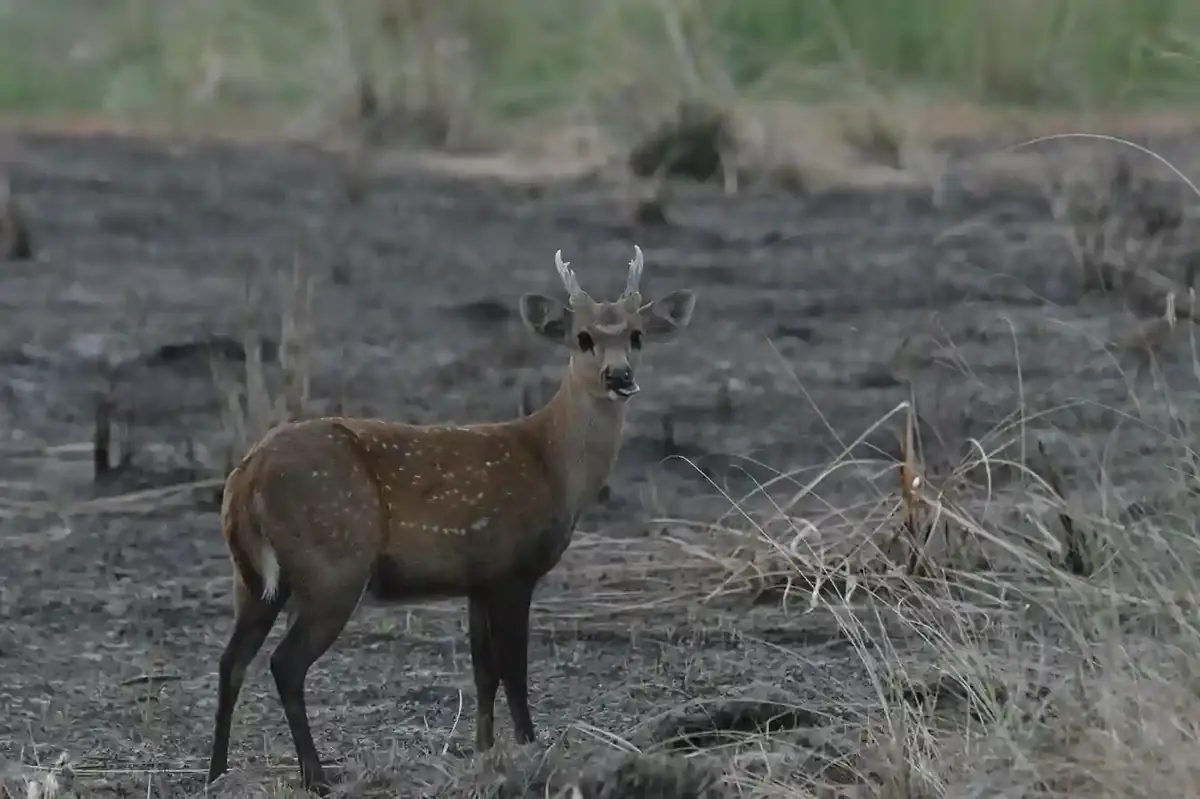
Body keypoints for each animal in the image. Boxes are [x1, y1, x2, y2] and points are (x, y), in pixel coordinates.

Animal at [205, 245, 696, 795]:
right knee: (284, 664)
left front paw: (483, 751)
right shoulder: (512, 568)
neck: (553, 462)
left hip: (253, 575)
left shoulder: (477, 577)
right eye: (583, 337)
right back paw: (316, 778)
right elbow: (514, 669)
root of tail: (247, 474)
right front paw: (531, 747)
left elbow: (483, 671)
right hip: (332, 563)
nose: (620, 377)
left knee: (231, 661)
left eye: (636, 334)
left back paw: (216, 772)